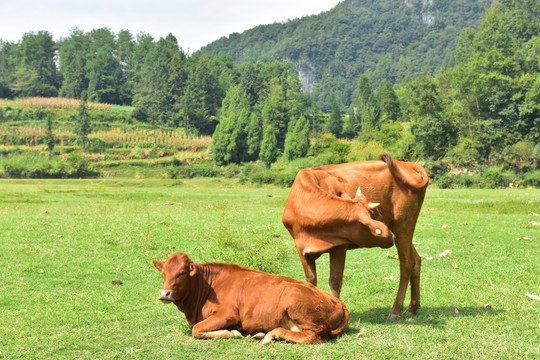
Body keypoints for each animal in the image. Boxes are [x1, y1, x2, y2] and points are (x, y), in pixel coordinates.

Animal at [152, 252, 350, 344]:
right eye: (164, 272)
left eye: (182, 272)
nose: (164, 293)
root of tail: (336, 300)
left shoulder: (228, 315)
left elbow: (197, 330)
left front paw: (233, 332)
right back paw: (264, 333)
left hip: (297, 303)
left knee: (315, 336)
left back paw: (271, 334)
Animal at [282, 153, 430, 320]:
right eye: (374, 217)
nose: (390, 236)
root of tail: (408, 165)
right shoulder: (301, 248)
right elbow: (310, 281)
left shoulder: (339, 246)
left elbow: (335, 280)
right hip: (401, 229)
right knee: (416, 260)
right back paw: (412, 307)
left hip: (403, 225)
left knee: (406, 265)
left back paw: (395, 310)